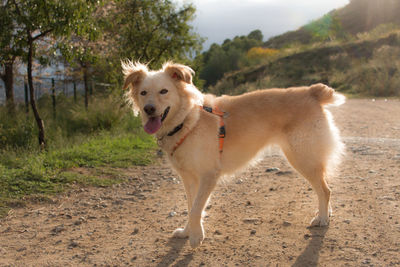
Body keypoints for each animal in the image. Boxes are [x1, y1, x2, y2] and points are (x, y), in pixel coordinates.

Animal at [121, 60, 344, 249]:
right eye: (143, 92)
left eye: (164, 91)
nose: (149, 109)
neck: (188, 121)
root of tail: (312, 91)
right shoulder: (188, 178)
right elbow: (191, 206)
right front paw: (186, 232)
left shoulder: (208, 175)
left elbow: (196, 209)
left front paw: (195, 237)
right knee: (323, 188)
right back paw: (326, 213)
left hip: (303, 158)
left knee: (325, 190)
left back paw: (323, 218)